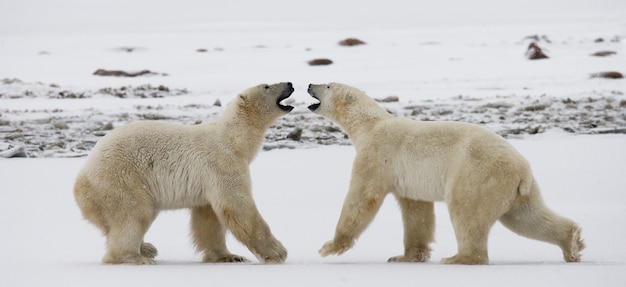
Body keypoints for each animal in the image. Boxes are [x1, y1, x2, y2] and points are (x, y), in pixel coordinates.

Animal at [73, 82, 294, 264]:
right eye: (266, 86)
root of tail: (80, 181)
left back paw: (146, 248)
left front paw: (229, 256)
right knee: (133, 214)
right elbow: (238, 206)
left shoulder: (208, 180)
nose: (289, 83)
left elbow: (209, 218)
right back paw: (135, 257)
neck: (234, 141)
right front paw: (278, 252)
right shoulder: (222, 164)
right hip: (121, 179)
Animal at [308, 81, 584, 266]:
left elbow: (362, 197)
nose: (310, 84)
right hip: (517, 190)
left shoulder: (377, 154)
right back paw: (572, 243)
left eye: (328, 85)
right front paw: (405, 256)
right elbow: (416, 210)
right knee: (527, 217)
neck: (369, 124)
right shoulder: (408, 178)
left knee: (467, 213)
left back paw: (458, 258)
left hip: (478, 175)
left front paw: (329, 246)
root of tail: (522, 169)